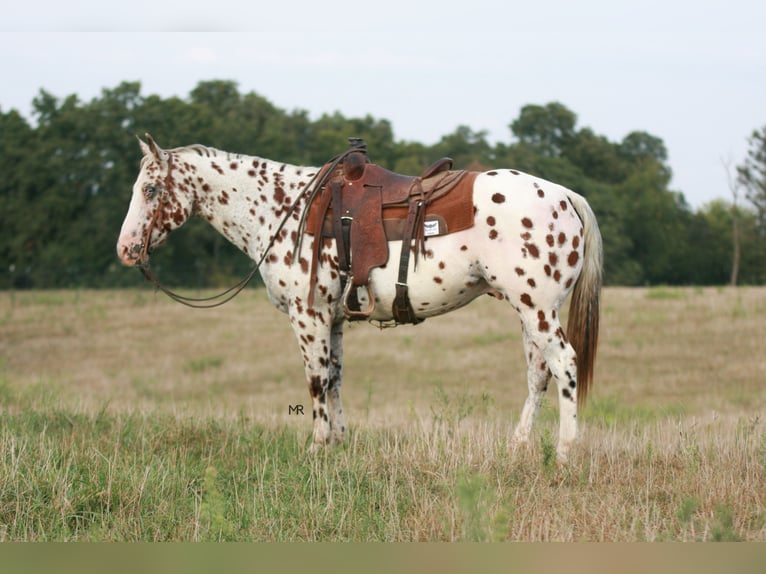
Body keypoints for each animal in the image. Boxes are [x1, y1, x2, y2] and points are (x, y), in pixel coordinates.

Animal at [117, 135, 602, 462]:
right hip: (531, 312)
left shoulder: (308, 315)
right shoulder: (332, 319)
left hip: (537, 309)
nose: (126, 249)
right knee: (538, 374)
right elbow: (334, 378)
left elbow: (315, 380)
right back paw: (519, 447)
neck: (283, 210)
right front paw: (338, 444)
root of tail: (566, 196)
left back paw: (565, 453)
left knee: (564, 364)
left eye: (150, 190)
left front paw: (316, 449)